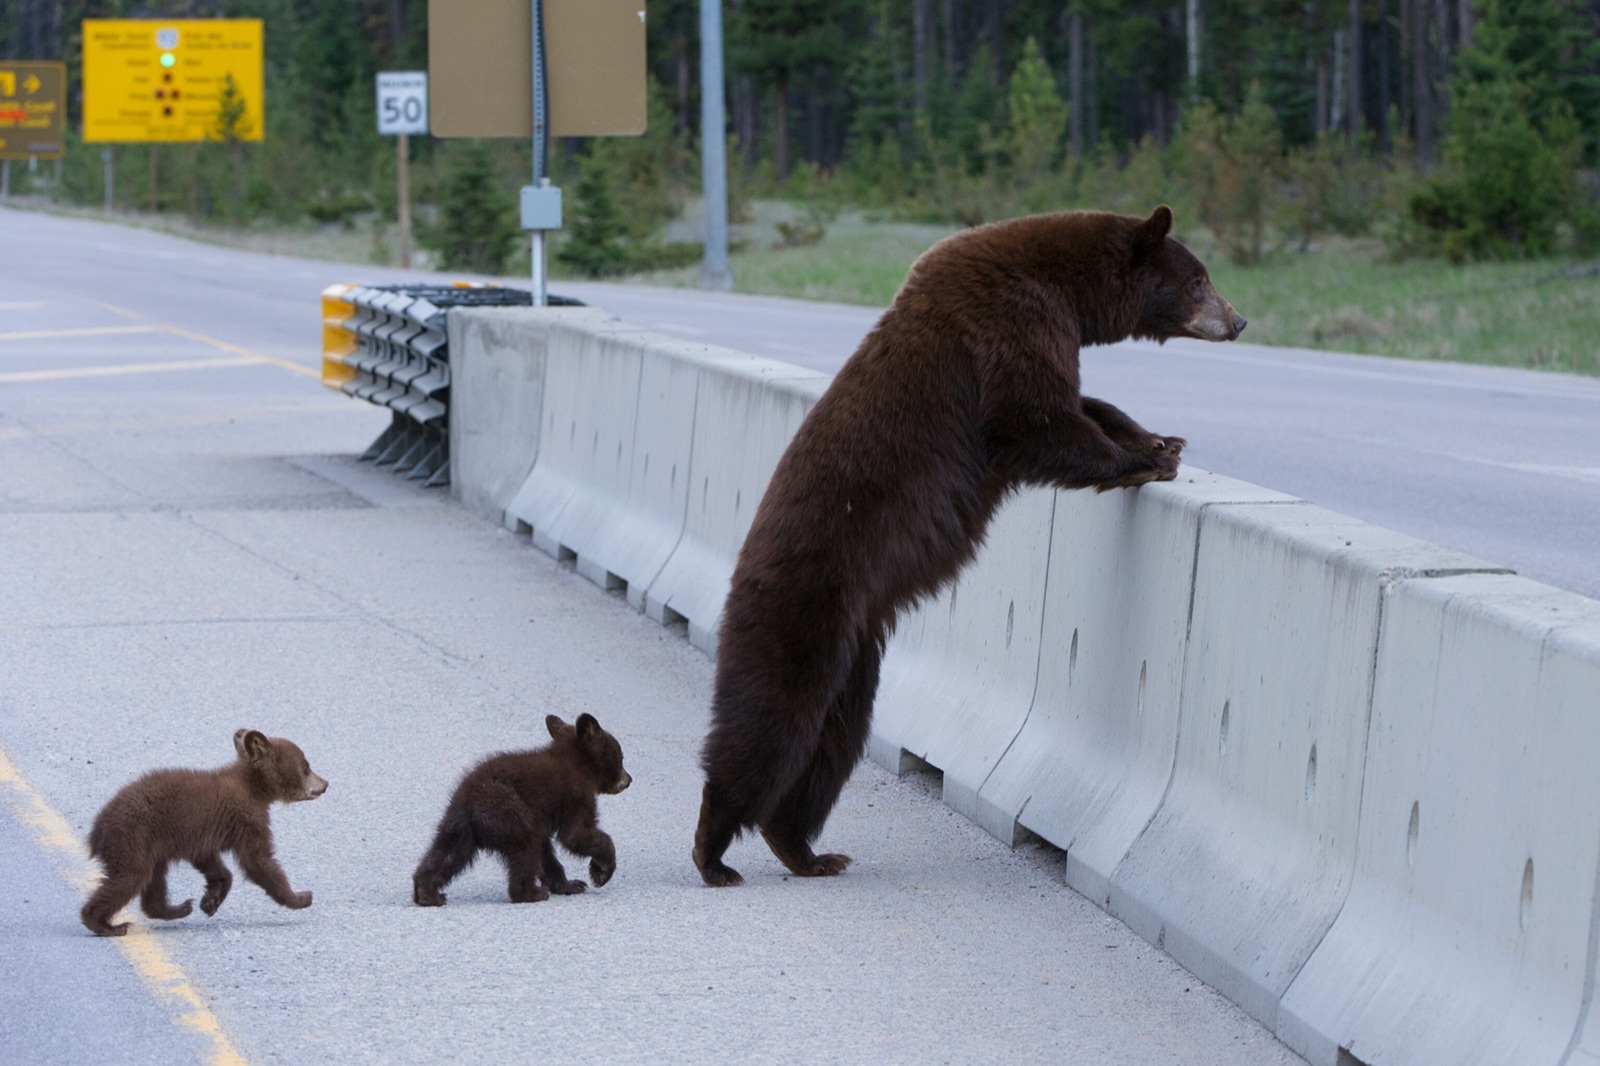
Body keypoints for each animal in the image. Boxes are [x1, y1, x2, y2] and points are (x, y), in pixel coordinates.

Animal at [80, 729, 328, 936]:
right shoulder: (248, 819)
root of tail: (97, 830)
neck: (254, 788)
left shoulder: (203, 836)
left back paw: (178, 908)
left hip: (151, 845)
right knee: (130, 878)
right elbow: (258, 860)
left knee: (153, 880)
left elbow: (211, 862)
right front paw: (301, 897)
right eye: (306, 765)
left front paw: (211, 899)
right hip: (132, 839)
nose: (325, 783)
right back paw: (105, 925)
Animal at [412, 713, 632, 906]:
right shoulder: (576, 797)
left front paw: (571, 885)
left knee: (448, 852)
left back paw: (427, 893)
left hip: (459, 826)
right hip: (511, 814)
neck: (578, 765)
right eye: (621, 758)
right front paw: (600, 872)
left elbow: (548, 852)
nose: (629, 779)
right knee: (527, 846)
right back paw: (531, 893)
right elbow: (575, 835)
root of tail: (470, 806)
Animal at [693, 206, 1246, 887]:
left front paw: (1157, 437)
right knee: (770, 719)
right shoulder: (1011, 326)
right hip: (803, 609)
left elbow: (1081, 402)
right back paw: (716, 851)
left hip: (856, 651)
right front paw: (1145, 458)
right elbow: (1035, 417)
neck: (1066, 287)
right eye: (1198, 280)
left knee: (833, 739)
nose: (1238, 320)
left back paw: (804, 847)